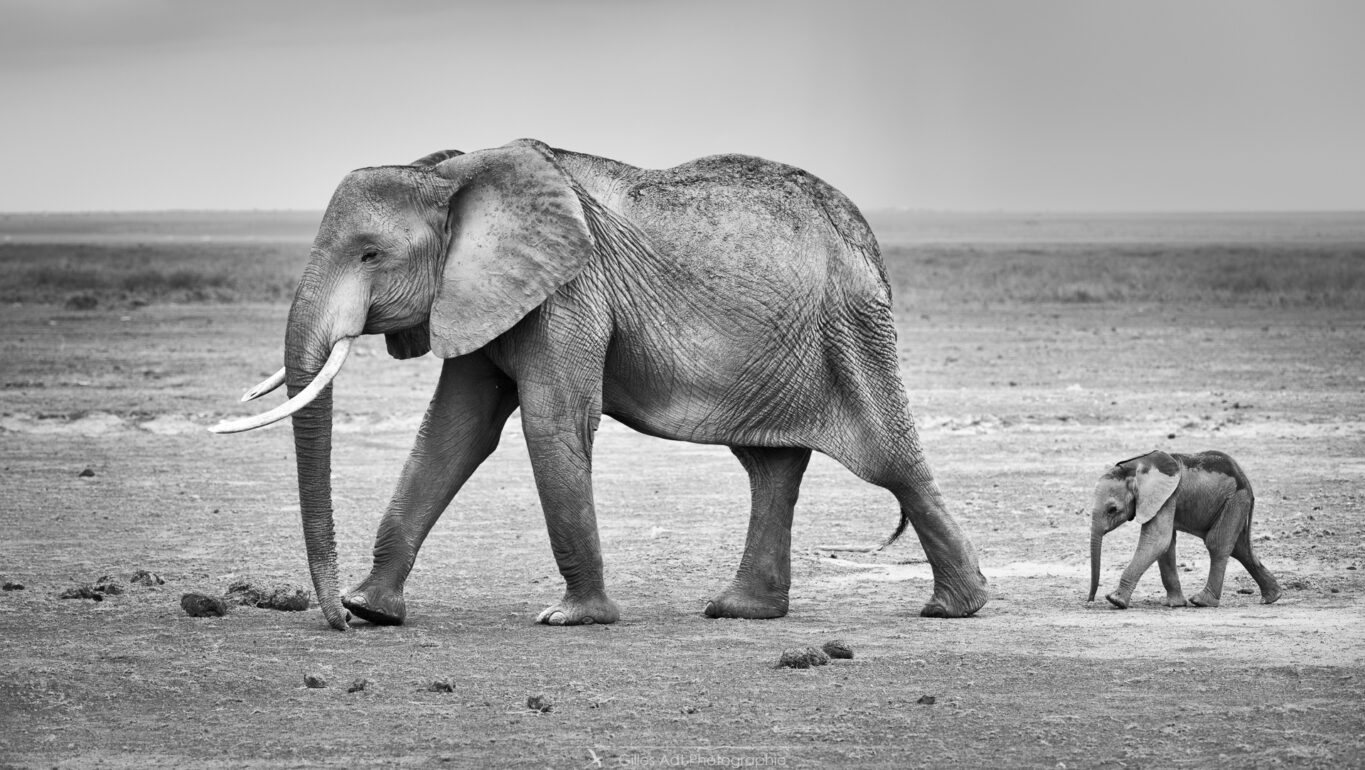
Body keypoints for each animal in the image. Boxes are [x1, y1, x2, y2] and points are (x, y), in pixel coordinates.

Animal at [212, 139, 988, 630]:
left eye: (371, 255)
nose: (335, 622)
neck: (456, 173)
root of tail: (868, 240)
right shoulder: (482, 294)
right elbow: (453, 435)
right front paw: (373, 610)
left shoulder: (568, 289)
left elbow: (551, 422)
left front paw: (570, 618)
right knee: (770, 466)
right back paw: (738, 610)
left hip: (852, 325)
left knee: (890, 461)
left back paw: (955, 608)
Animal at [1086, 447, 1277, 611]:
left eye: (1112, 509)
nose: (1090, 601)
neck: (1134, 468)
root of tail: (1246, 481)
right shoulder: (1165, 499)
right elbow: (1166, 544)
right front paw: (1175, 604)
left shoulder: (1167, 497)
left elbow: (1157, 541)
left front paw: (1115, 600)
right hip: (1235, 503)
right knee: (1240, 549)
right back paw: (1272, 597)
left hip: (1235, 499)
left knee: (1217, 544)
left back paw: (1201, 602)